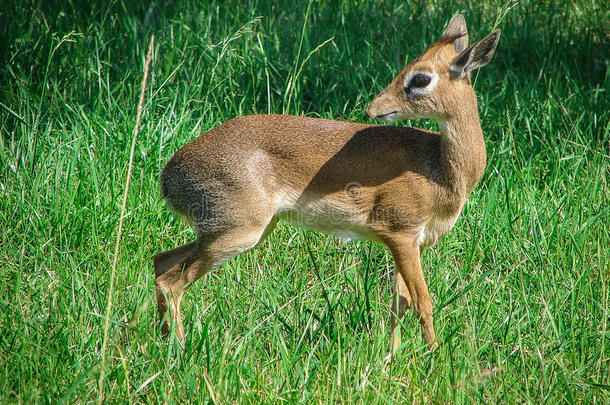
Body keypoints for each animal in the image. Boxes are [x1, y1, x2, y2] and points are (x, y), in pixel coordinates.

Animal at [153, 15, 498, 350]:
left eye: (421, 78)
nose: (374, 108)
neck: (440, 169)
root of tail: (169, 175)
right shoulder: (400, 233)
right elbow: (422, 303)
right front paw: (433, 355)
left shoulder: (415, 242)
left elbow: (399, 304)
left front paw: (393, 355)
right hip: (236, 231)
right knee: (171, 282)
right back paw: (179, 351)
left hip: (231, 231)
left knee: (160, 262)